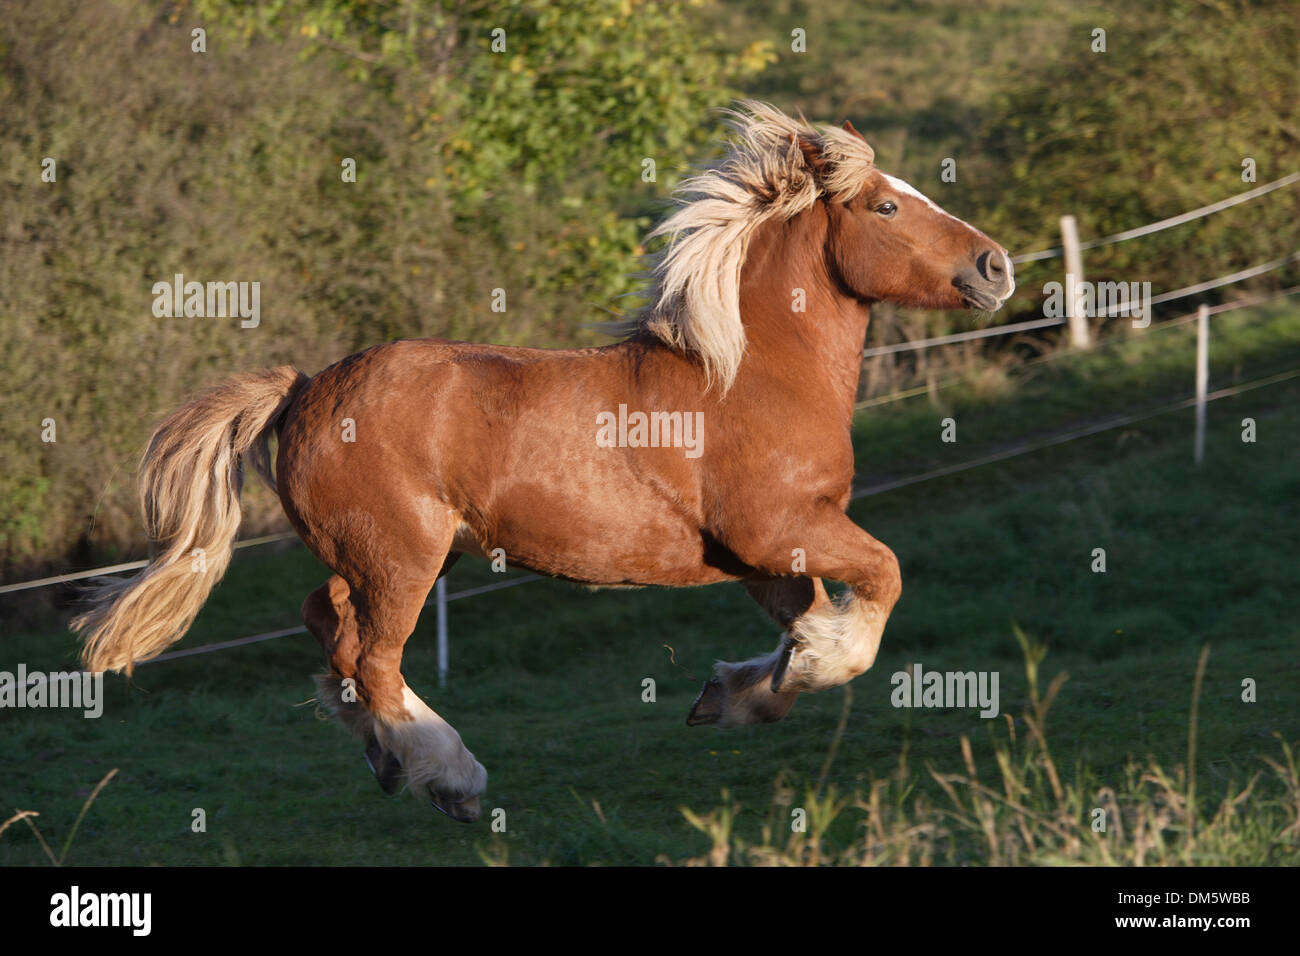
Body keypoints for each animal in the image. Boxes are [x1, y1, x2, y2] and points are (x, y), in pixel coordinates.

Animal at [73, 102, 1013, 822]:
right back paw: (450, 778)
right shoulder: (781, 528)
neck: (750, 374)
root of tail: (304, 389)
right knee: (369, 658)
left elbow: (802, 629)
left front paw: (730, 694)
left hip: (393, 557)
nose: (996, 264)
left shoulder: (763, 558)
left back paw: (390, 760)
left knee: (328, 626)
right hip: (402, 559)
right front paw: (799, 667)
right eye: (886, 208)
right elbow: (876, 589)